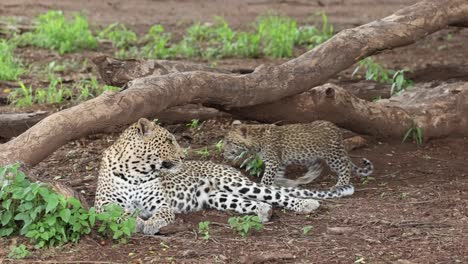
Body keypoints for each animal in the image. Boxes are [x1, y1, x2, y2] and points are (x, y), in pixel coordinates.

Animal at [93, 118, 352, 234]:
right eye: (168, 141)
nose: (183, 155)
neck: (136, 172)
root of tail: (226, 168)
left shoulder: (161, 204)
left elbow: (159, 215)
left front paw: (149, 224)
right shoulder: (102, 206)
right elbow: (120, 214)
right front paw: (136, 220)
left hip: (237, 184)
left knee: (276, 193)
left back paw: (307, 204)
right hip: (218, 197)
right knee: (259, 202)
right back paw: (263, 212)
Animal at [222, 120, 372, 191]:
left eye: (229, 142)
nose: (223, 152)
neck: (256, 139)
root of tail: (335, 128)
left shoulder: (273, 162)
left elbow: (266, 178)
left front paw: (264, 187)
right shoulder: (280, 163)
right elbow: (277, 176)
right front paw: (280, 184)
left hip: (332, 155)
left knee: (345, 166)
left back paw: (340, 184)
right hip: (311, 156)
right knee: (317, 168)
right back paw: (300, 180)